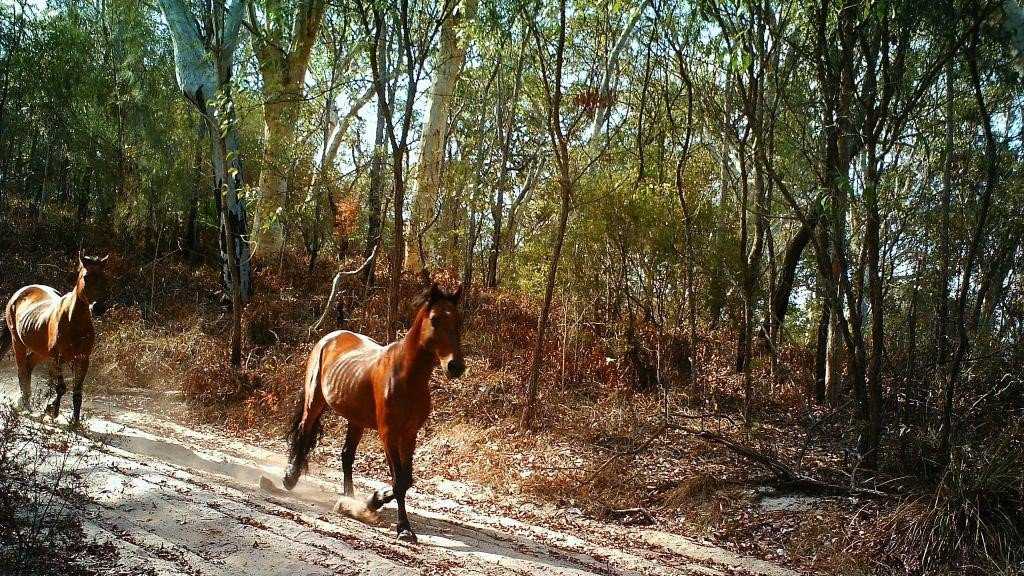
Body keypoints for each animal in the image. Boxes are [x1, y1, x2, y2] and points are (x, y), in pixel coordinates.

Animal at [0, 249, 109, 424]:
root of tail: (19, 293)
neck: (75, 322)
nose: (98, 307)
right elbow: (61, 387)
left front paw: (75, 422)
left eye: (105, 278)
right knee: (22, 369)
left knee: (28, 366)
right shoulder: (57, 358)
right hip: (18, 342)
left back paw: (26, 401)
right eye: (86, 277)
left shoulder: (83, 359)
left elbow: (77, 392)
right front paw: (52, 410)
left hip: (41, 351)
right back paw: (25, 405)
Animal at [284, 280, 468, 541]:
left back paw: (348, 500)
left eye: (459, 321)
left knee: (346, 456)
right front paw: (403, 527)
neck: (407, 377)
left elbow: (406, 480)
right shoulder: (388, 433)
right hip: (314, 401)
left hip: (356, 420)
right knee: (303, 433)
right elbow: (399, 481)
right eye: (435, 319)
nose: (456, 366)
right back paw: (290, 477)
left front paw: (372, 501)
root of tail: (330, 337)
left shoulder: (409, 434)